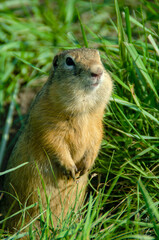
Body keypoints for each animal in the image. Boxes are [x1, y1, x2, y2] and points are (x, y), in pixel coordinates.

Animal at [1, 47, 112, 231]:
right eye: (69, 61)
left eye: (99, 56)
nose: (98, 72)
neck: (82, 111)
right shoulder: (46, 124)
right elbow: (54, 143)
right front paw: (71, 169)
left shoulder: (97, 125)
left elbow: (96, 141)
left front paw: (85, 167)